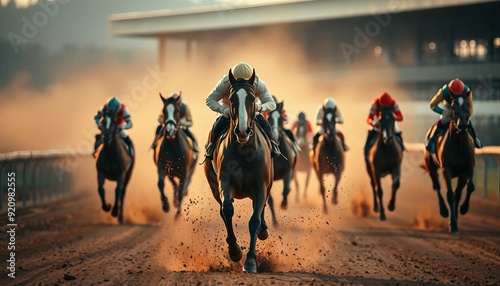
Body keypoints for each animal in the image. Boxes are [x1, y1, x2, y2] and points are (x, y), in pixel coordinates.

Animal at [203, 68, 274, 272]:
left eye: (252, 98)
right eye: (232, 99)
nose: (242, 131)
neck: (244, 153)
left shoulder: (261, 186)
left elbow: (255, 220)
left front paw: (250, 261)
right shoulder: (224, 183)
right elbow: (227, 210)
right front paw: (235, 252)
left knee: (262, 209)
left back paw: (264, 231)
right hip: (213, 185)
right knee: (222, 209)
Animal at [424, 95, 474, 233]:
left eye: (468, 106)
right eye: (453, 108)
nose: (462, 127)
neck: (458, 145)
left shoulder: (468, 168)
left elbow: (470, 187)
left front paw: (464, 208)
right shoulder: (446, 169)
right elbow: (449, 195)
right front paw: (452, 224)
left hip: (461, 175)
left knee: (458, 193)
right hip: (431, 166)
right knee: (437, 187)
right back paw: (444, 210)